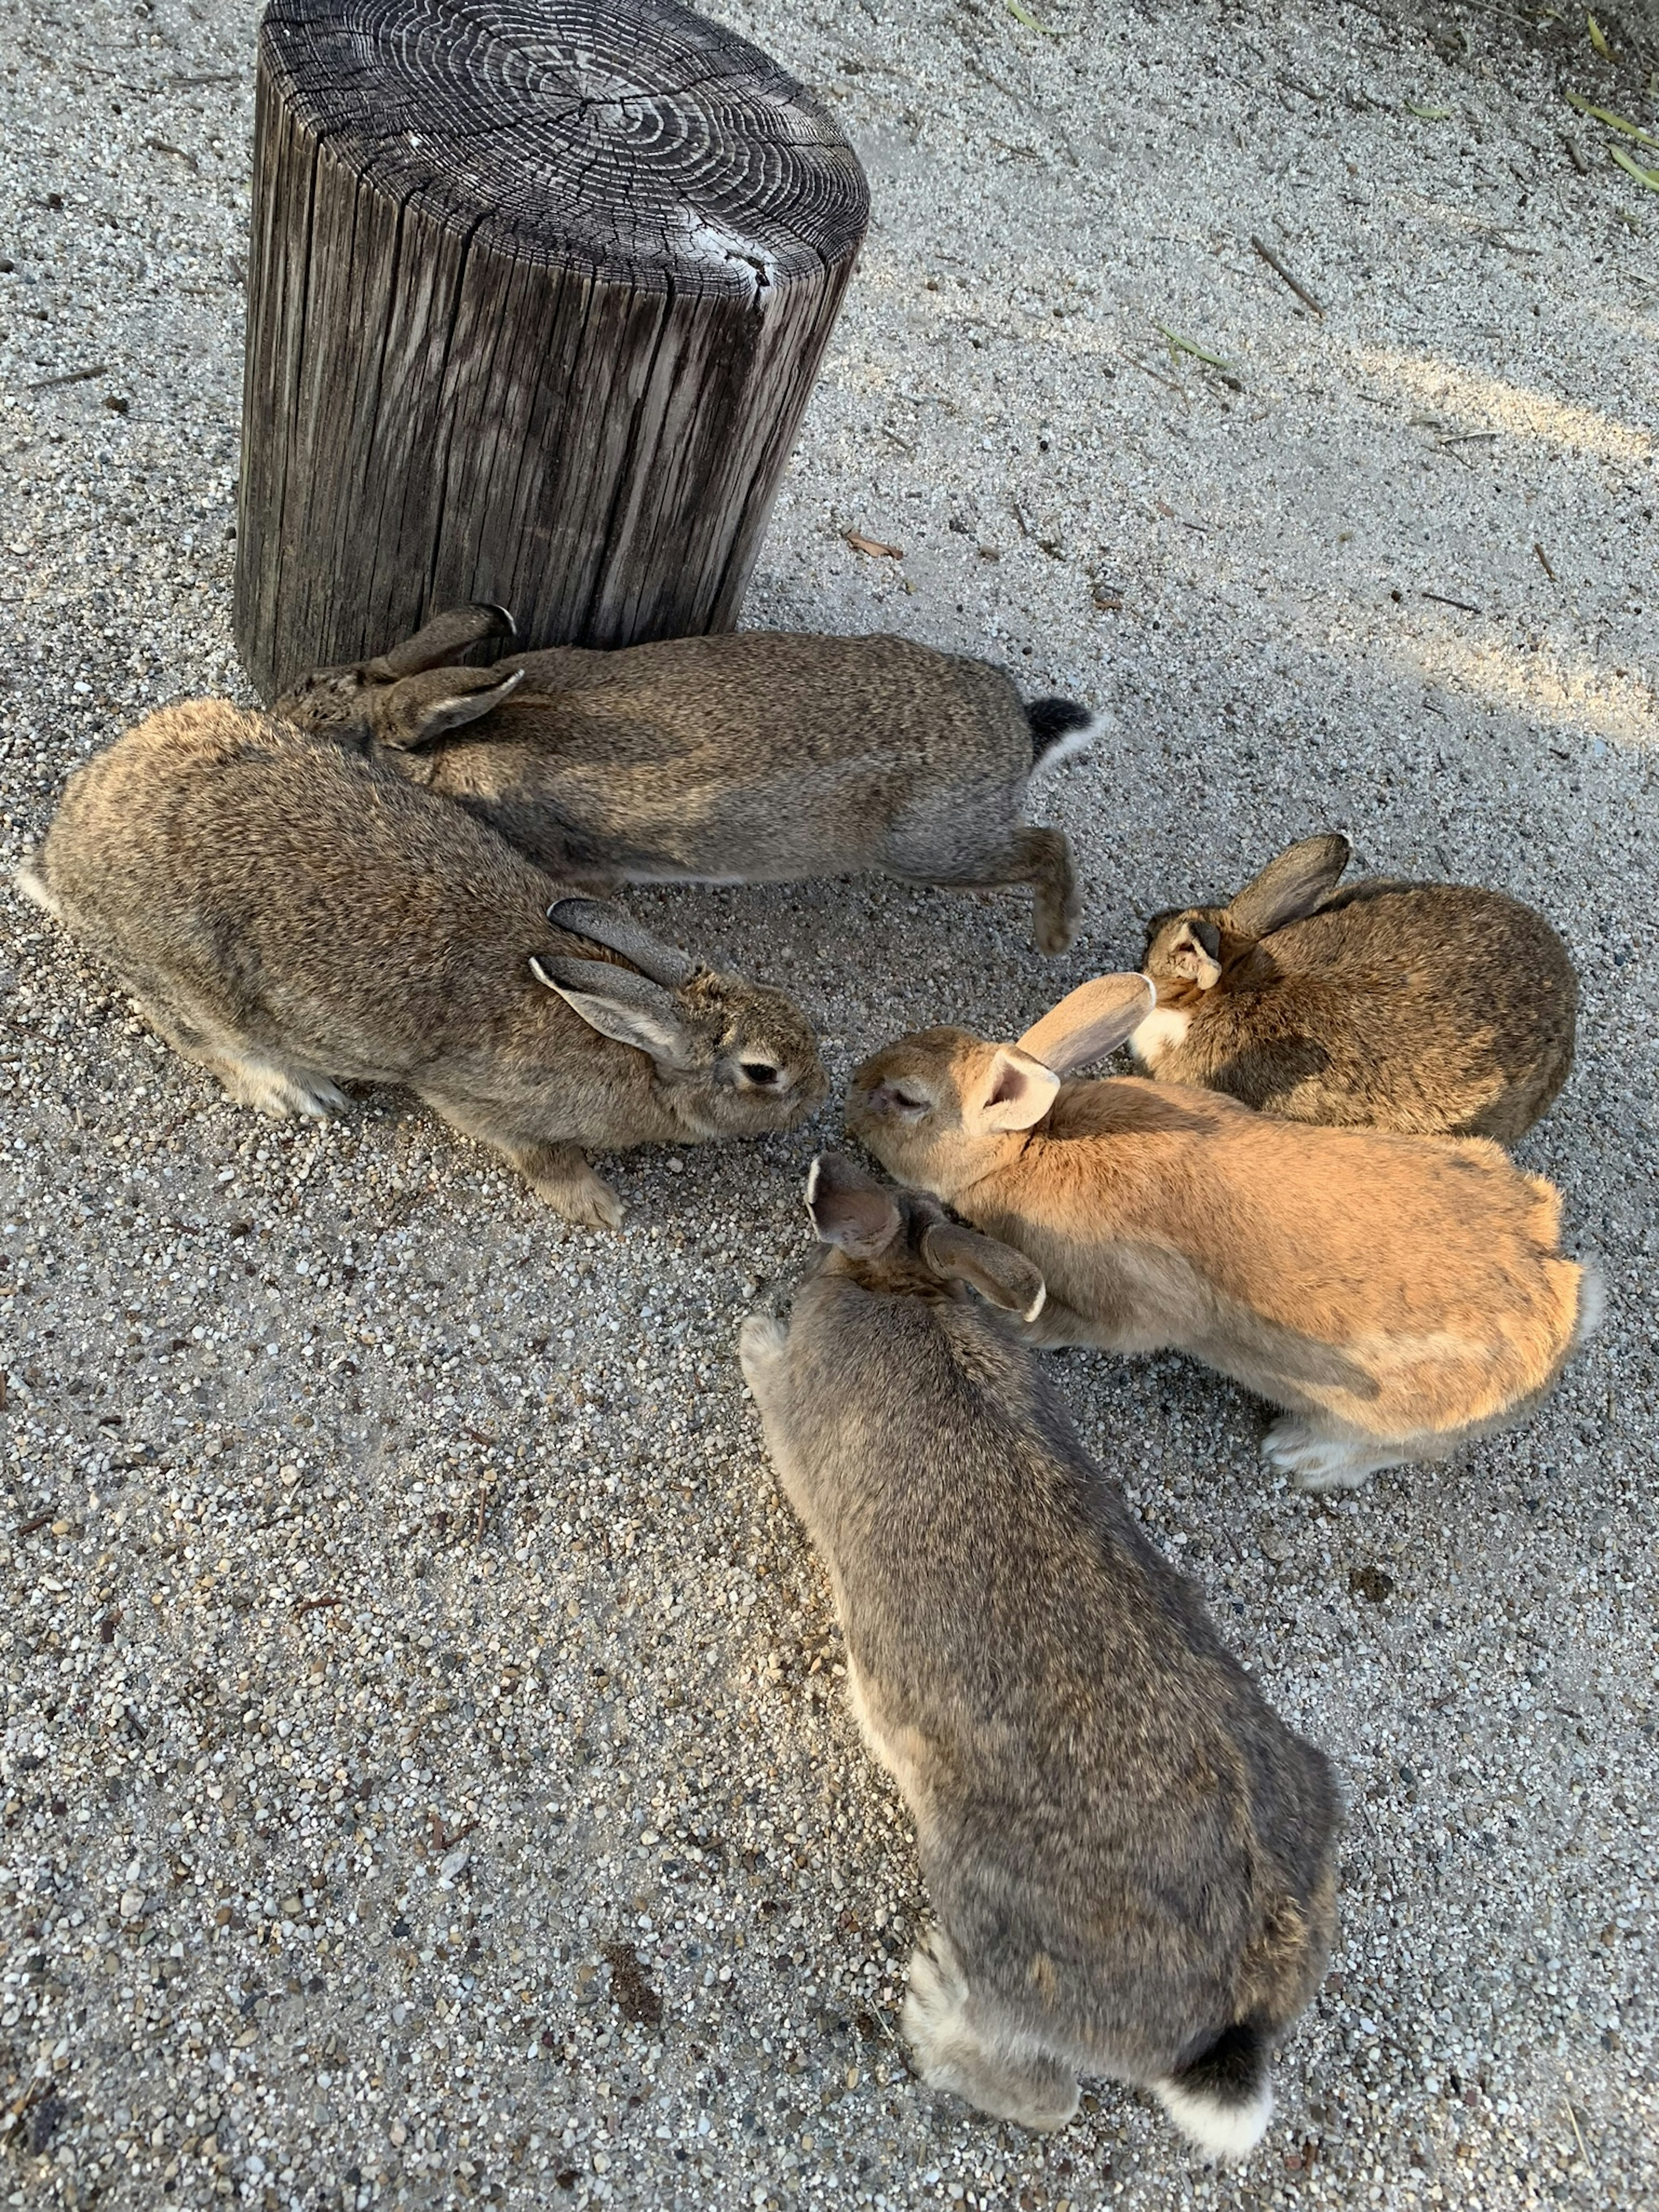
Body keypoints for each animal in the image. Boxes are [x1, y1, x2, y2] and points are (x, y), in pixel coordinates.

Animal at [19, 699, 827, 1230]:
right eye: (763, 1073)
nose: (815, 1099)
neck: (636, 1044)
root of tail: (62, 855)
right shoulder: (486, 1106)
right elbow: (540, 1157)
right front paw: (600, 1207)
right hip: (189, 981)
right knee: (193, 1034)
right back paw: (299, 1091)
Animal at [273, 606, 1106, 951]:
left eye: (318, 733)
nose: (272, 723)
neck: (446, 748)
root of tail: (1017, 732)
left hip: (931, 846)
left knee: (1048, 844)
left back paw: (1057, 936)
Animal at [739, 1159, 1336, 2159]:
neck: (918, 1288)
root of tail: (1241, 2002)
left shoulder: (797, 1415)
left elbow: (773, 1387)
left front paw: (753, 1336)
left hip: (992, 1914)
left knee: (1049, 2092)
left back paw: (933, 2007)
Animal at [849, 973, 1601, 1478]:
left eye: (908, 1100)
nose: (855, 1093)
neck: (1026, 1149)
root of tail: (1566, 1300)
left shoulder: (1131, 1307)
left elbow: (1099, 1329)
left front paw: (1026, 1331)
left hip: (1384, 1418)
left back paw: (1297, 1456)